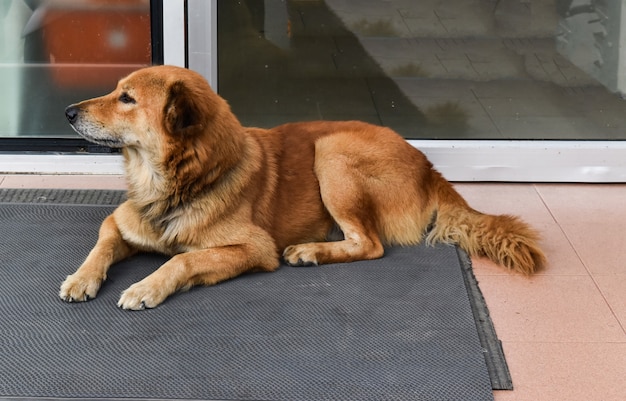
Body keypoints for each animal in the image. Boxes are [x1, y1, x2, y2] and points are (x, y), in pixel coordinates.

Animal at [61, 65, 544, 310]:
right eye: (116, 90)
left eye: (127, 98)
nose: (67, 112)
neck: (178, 181)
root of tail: (428, 165)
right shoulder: (119, 222)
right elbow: (101, 245)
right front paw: (82, 279)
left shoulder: (254, 249)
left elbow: (182, 261)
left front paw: (147, 287)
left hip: (331, 152)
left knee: (370, 244)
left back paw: (311, 251)